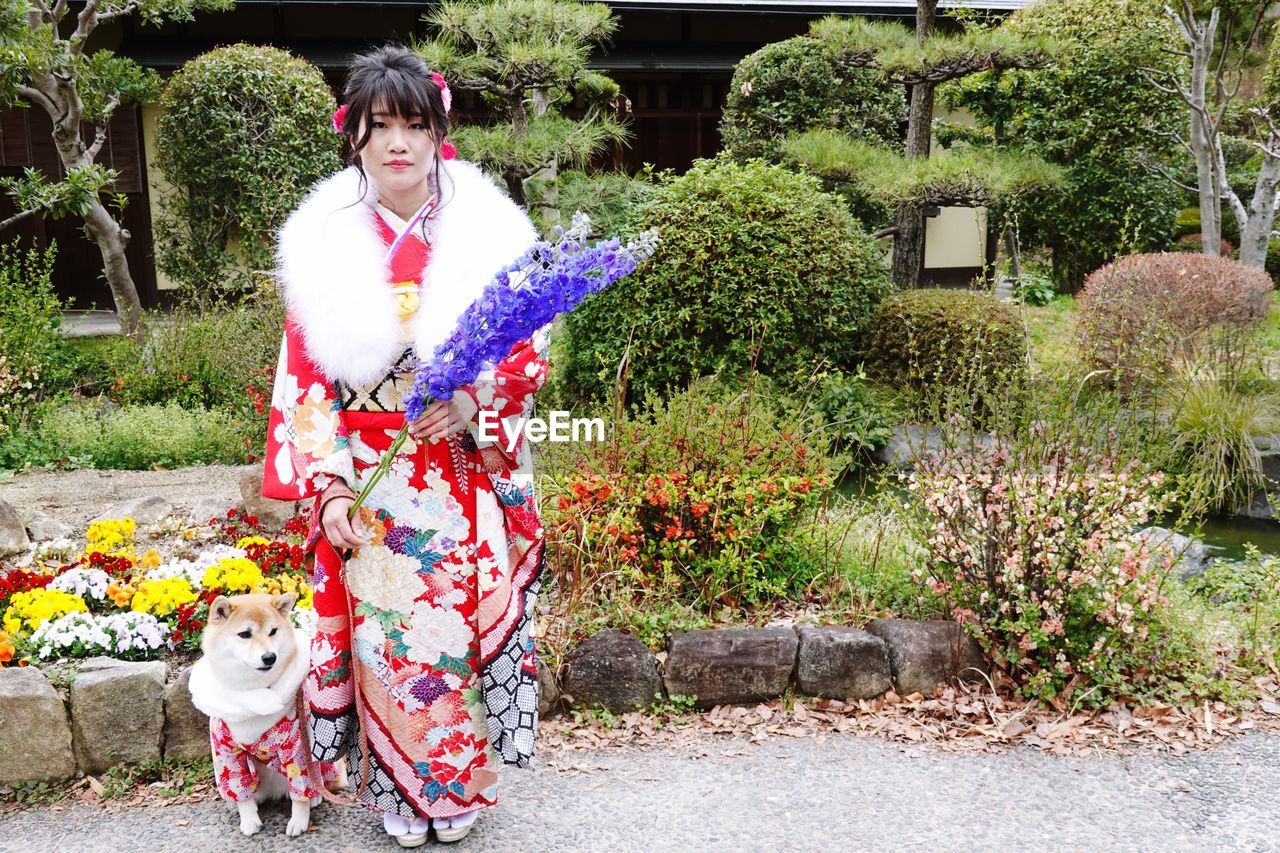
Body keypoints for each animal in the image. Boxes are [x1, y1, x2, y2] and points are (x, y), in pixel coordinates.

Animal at [188, 589, 340, 835]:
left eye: (273, 631)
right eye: (244, 634)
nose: (270, 657)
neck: (253, 694)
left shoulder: (297, 747)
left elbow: (300, 790)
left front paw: (299, 821)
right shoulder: (225, 751)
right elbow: (239, 789)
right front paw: (248, 819)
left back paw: (316, 797)